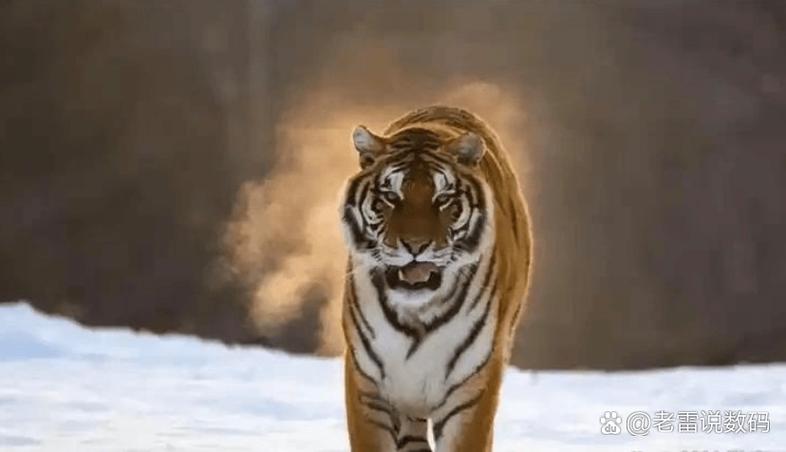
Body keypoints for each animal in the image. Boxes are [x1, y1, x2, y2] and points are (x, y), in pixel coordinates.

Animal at [338, 106, 532, 452]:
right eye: (391, 196)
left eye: (442, 199)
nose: (416, 246)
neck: (417, 314)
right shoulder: (368, 385)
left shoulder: (472, 387)